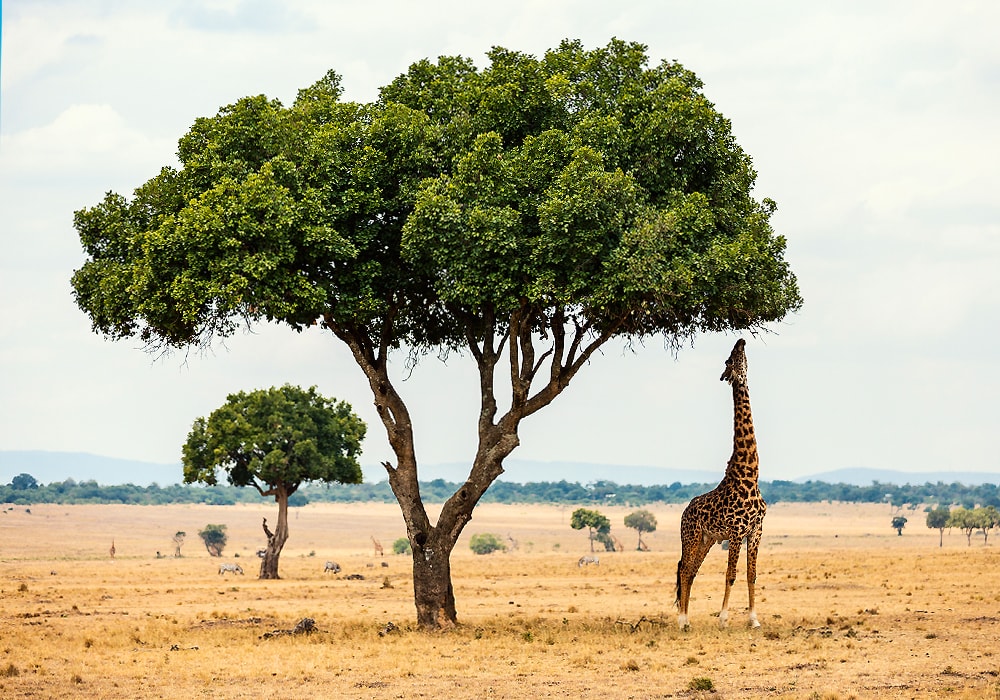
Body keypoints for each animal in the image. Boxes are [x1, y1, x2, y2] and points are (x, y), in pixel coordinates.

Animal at [676, 336, 768, 632]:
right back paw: (682, 621)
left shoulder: (756, 531)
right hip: (691, 535)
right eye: (730, 359)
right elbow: (731, 574)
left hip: (706, 539)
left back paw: (687, 618)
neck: (749, 475)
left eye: (738, 356)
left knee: (691, 571)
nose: (741, 340)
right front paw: (724, 619)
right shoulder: (737, 532)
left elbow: (752, 575)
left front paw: (754, 619)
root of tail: (685, 511)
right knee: (684, 569)